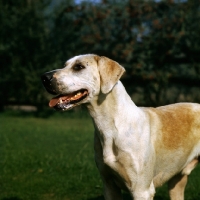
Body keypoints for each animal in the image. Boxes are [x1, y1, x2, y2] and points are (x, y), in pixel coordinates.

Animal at [41, 54, 200, 199]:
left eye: (78, 67)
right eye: (65, 65)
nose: (44, 77)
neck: (110, 128)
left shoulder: (141, 190)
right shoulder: (109, 186)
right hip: (176, 182)